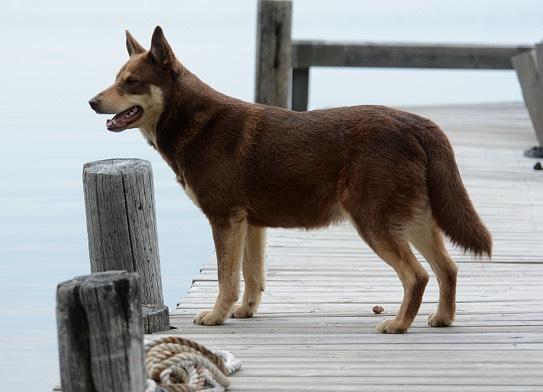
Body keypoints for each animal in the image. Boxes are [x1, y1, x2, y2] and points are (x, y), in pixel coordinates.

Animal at [90, 26, 492, 334]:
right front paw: (245, 311)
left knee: (417, 275)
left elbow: (226, 278)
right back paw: (442, 318)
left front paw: (217, 316)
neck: (193, 121)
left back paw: (397, 325)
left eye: (132, 82)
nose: (93, 101)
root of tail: (416, 124)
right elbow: (251, 276)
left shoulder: (224, 218)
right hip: (414, 217)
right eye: (116, 79)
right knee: (447, 268)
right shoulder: (250, 223)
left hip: (375, 221)